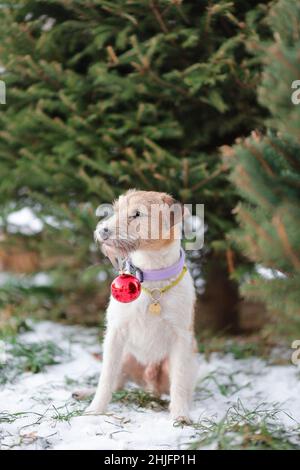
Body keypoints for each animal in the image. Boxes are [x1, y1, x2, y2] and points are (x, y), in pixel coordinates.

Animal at [77, 191, 198, 422]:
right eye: (116, 209)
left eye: (137, 214)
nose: (103, 230)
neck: (151, 276)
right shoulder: (115, 333)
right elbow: (106, 376)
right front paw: (95, 410)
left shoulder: (181, 338)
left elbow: (179, 381)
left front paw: (180, 416)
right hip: (125, 357)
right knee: (116, 382)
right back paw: (84, 393)